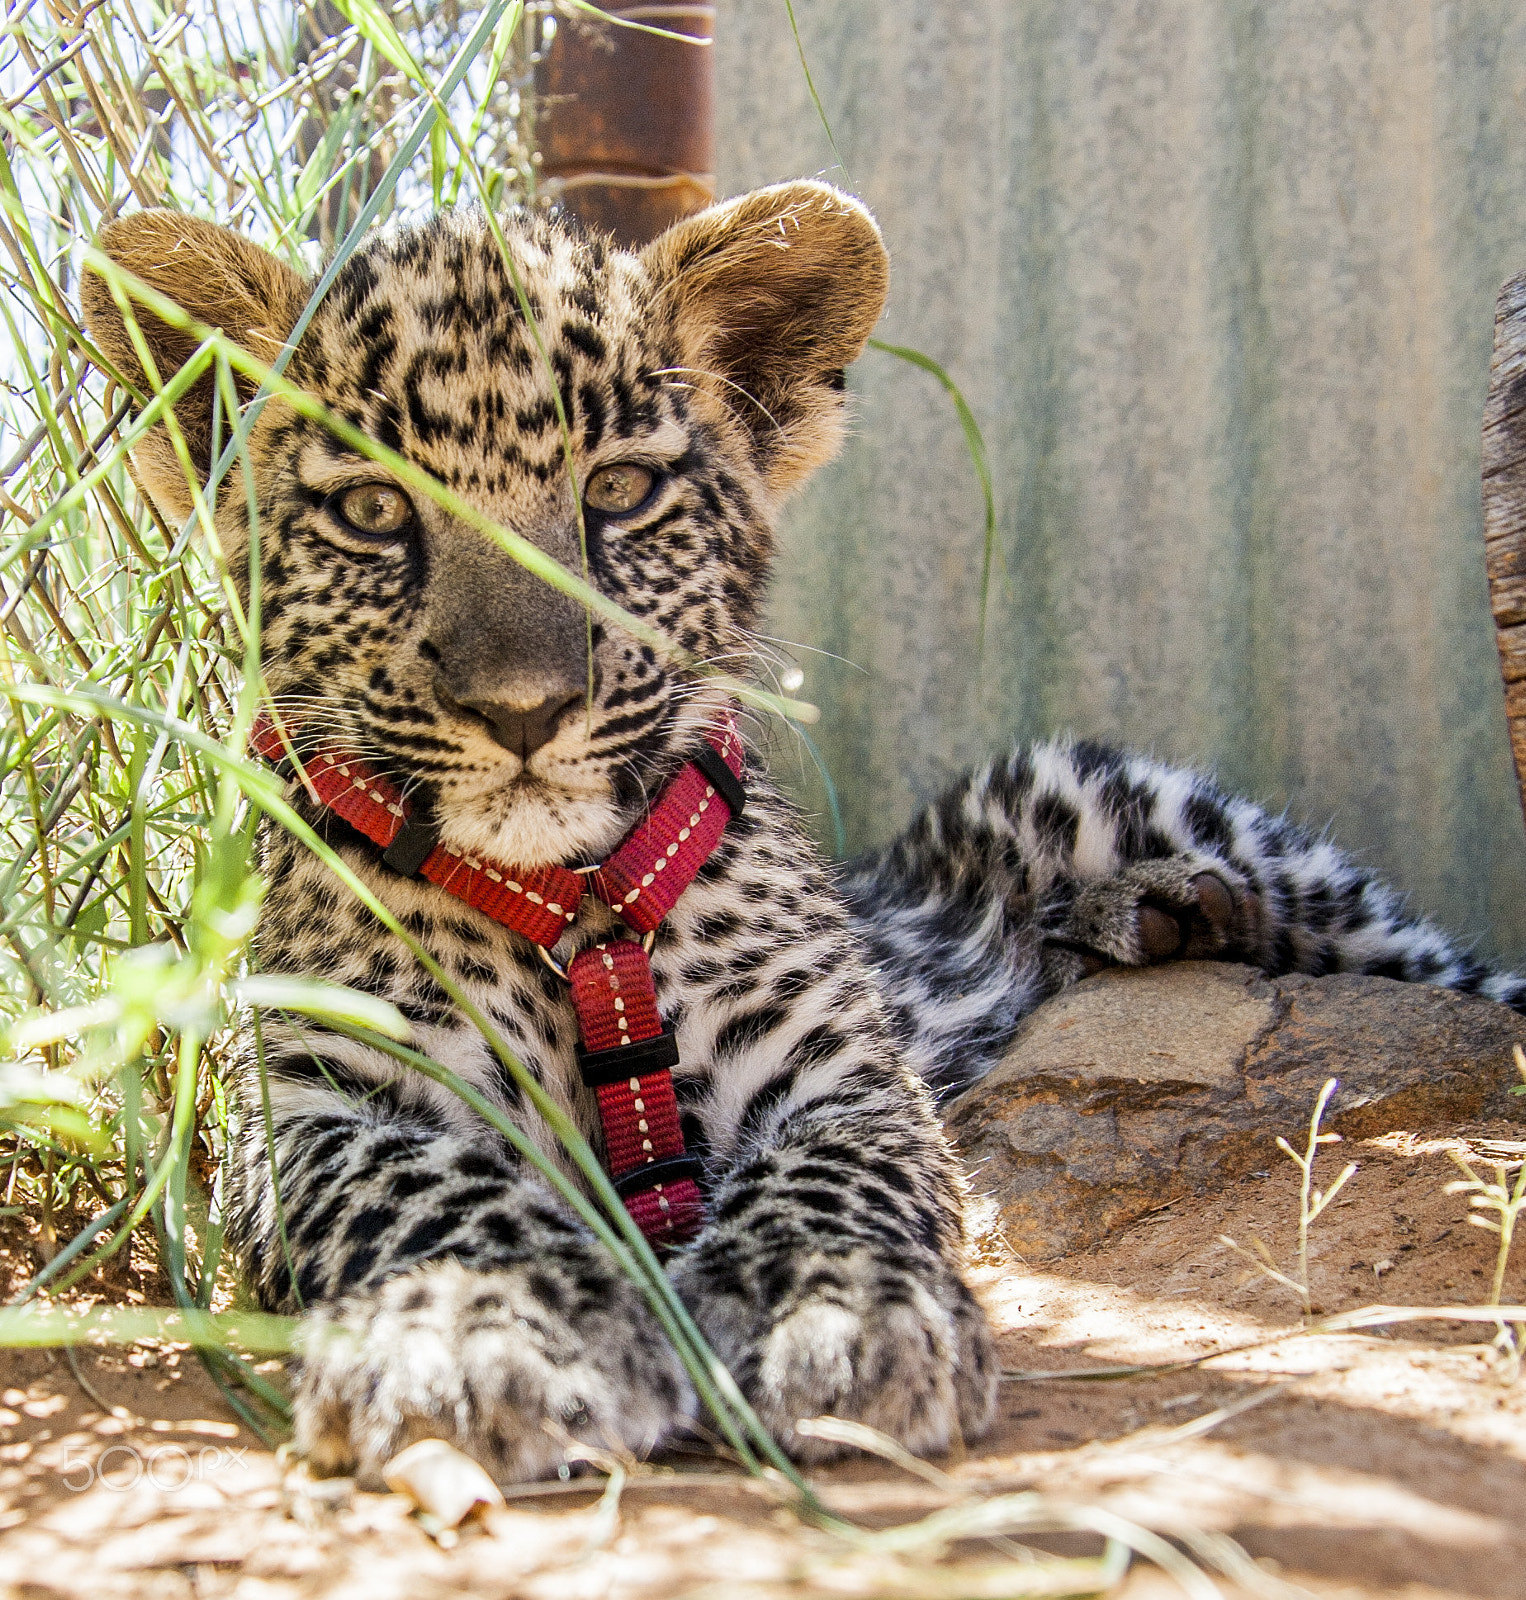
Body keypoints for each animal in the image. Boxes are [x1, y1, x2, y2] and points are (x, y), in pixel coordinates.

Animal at [81, 180, 1526, 1488]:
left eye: (618, 491)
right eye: (373, 512)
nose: (524, 707)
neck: (572, 910)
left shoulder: (836, 1065)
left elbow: (834, 1179)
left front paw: (827, 1313)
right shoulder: (314, 1102)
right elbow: (424, 1198)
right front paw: (487, 1333)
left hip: (1109, 794)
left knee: (1434, 960)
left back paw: (1172, 906)